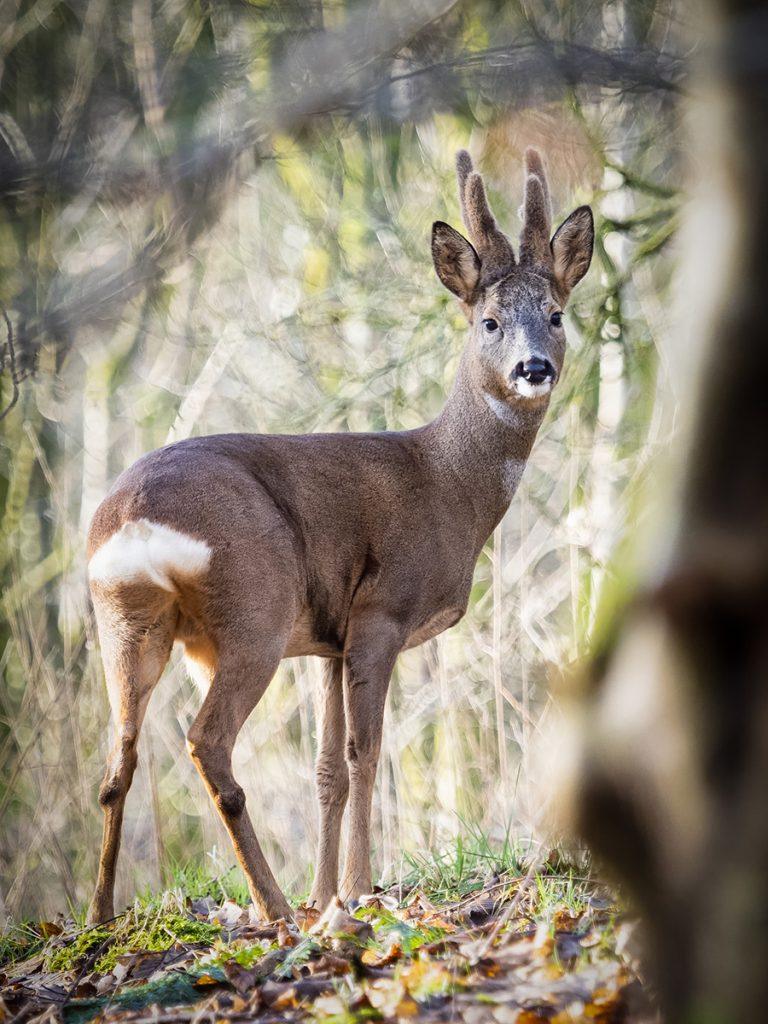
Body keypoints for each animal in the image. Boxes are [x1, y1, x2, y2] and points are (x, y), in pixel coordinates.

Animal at [85, 148, 593, 926]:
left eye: (557, 315)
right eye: (489, 321)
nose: (533, 368)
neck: (446, 483)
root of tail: (136, 518)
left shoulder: (326, 638)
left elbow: (326, 767)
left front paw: (326, 893)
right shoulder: (380, 611)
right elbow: (365, 752)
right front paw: (357, 890)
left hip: (125, 620)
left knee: (119, 760)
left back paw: (101, 916)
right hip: (255, 606)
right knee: (207, 741)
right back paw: (272, 906)